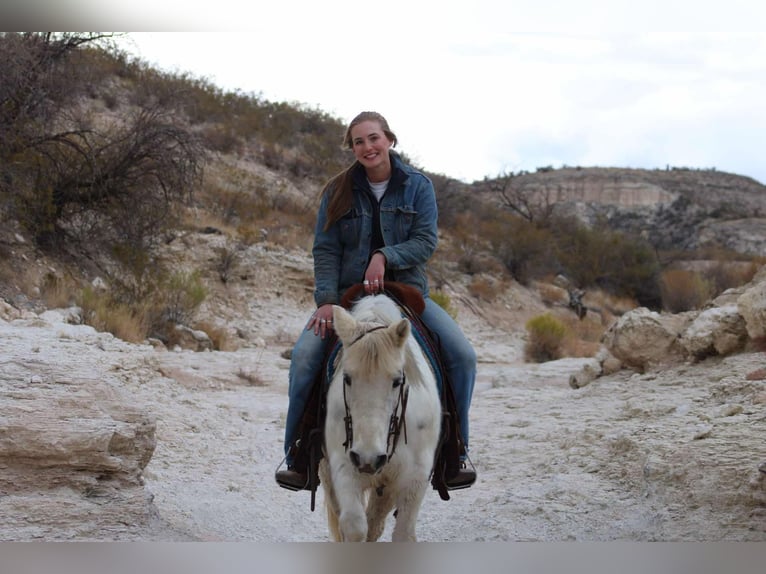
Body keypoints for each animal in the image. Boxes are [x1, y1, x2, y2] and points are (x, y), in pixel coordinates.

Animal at [318, 294, 440, 544]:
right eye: (347, 378)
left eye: (397, 381)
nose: (368, 457)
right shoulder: (345, 467)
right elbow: (354, 526)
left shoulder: (415, 477)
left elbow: (403, 533)